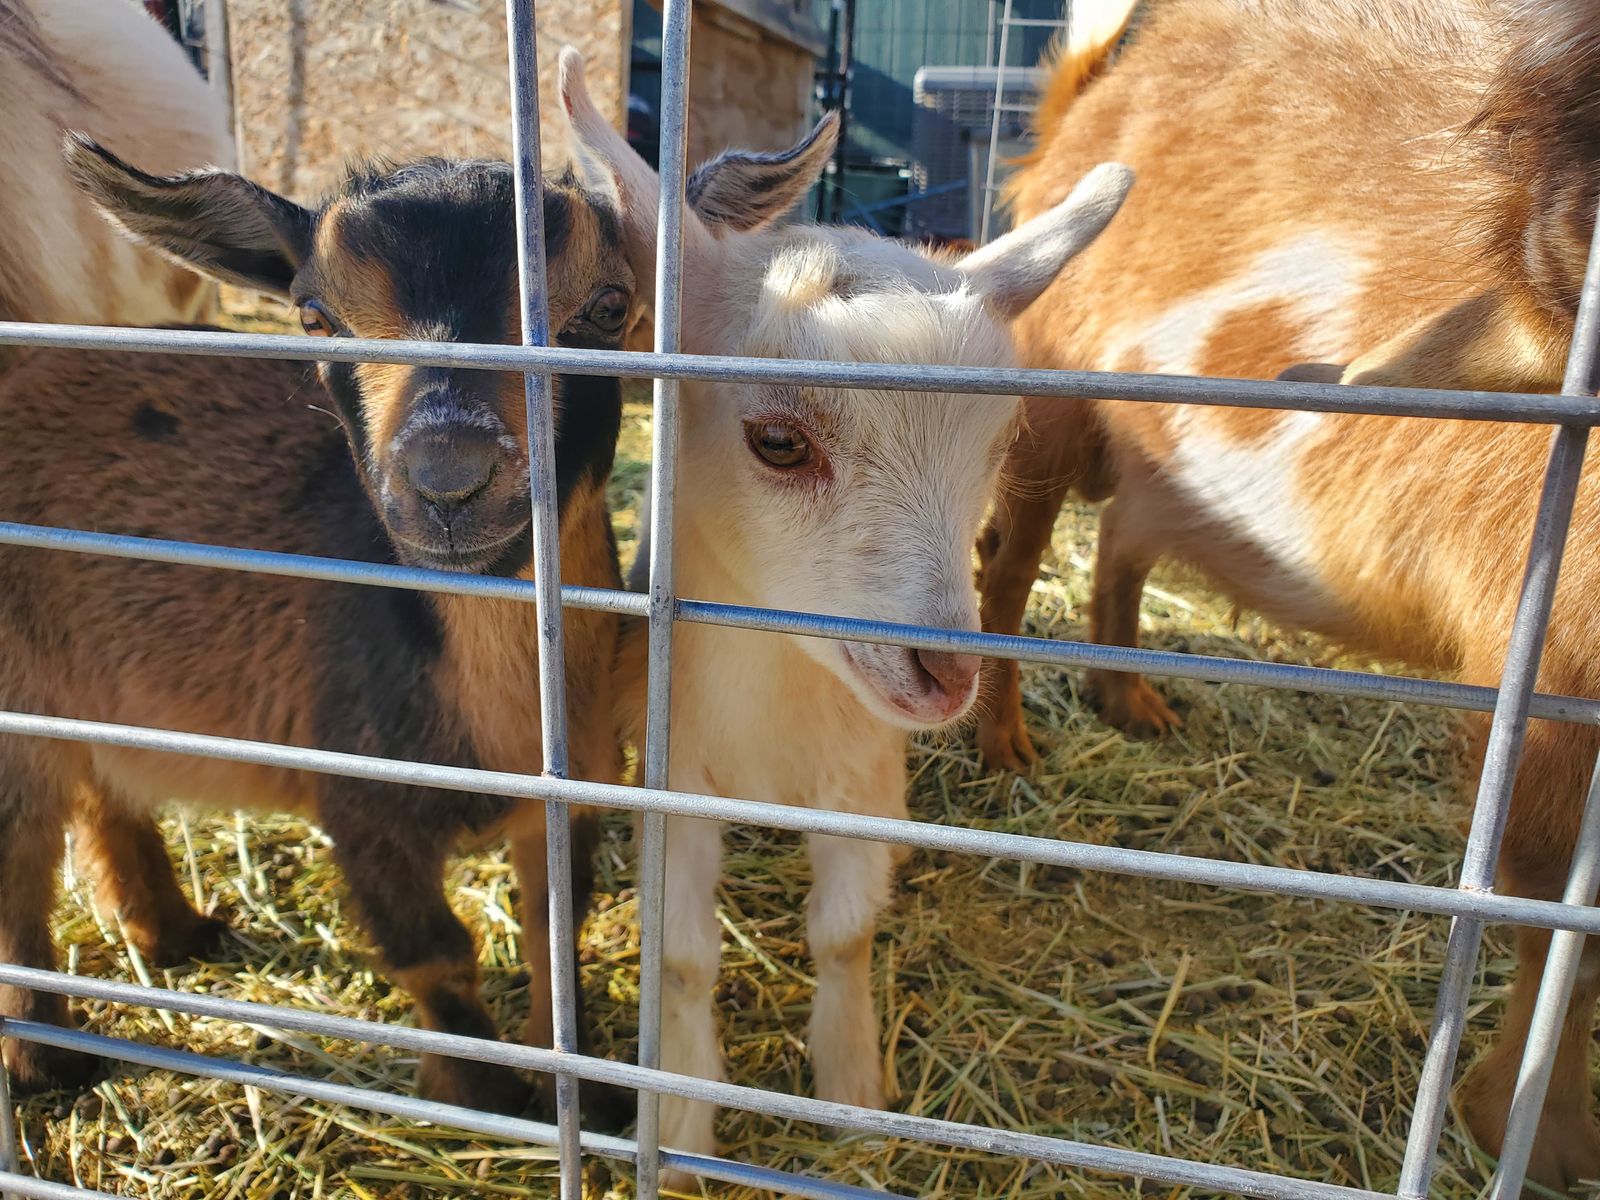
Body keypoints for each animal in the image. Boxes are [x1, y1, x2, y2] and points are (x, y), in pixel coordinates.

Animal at [0, 139, 634, 1121]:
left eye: (608, 307)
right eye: (315, 316)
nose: (446, 476)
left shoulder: (578, 794)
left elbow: (552, 933)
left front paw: (584, 1094)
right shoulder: (360, 796)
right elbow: (436, 952)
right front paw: (480, 1093)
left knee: (105, 792)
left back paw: (171, 932)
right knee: (22, 854)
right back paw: (45, 1057)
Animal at [560, 47, 1132, 1167]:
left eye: (1000, 444)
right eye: (778, 442)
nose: (947, 672)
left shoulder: (863, 773)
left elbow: (845, 933)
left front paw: (851, 1083)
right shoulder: (676, 779)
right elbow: (685, 956)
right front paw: (683, 1113)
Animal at [974, 0, 1600, 1190]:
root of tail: (1091, 101)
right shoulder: (1553, 684)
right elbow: (1557, 916)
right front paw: (1527, 1139)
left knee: (1122, 534)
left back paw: (1134, 704)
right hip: (1048, 381)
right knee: (1011, 553)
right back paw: (1006, 745)